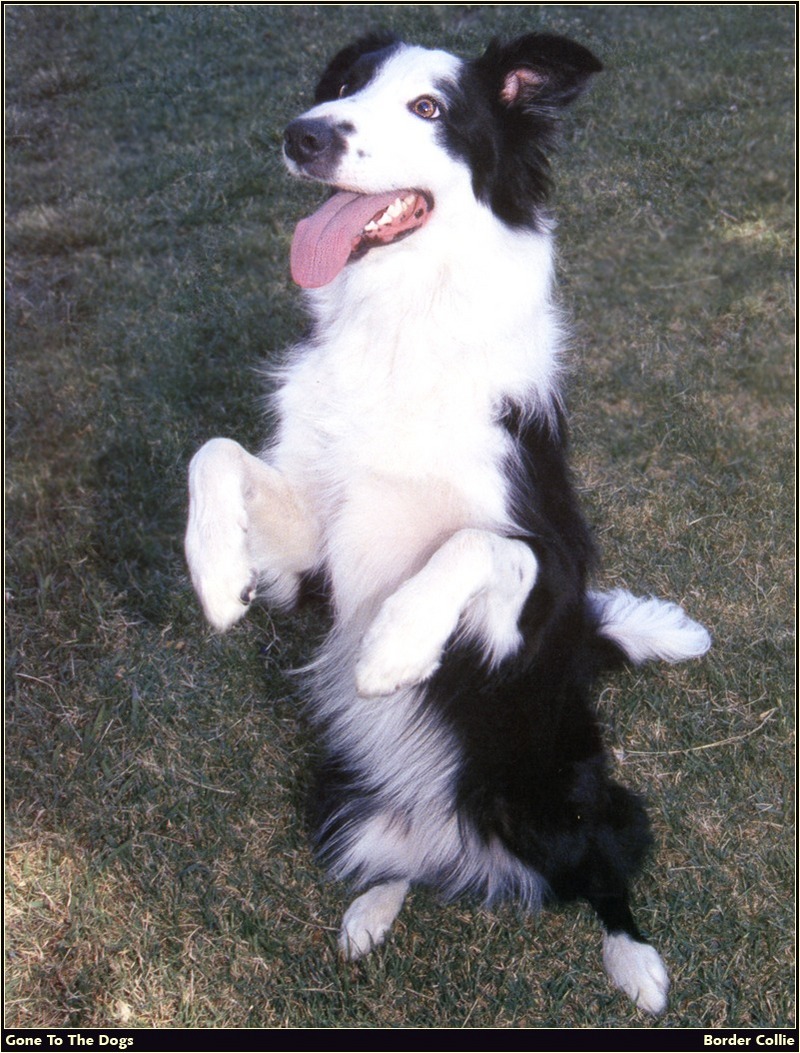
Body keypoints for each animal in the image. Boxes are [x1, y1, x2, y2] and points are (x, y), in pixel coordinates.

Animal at [184, 32, 707, 1015]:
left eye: (430, 108)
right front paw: (218, 578)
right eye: (347, 85)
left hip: (577, 799)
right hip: (334, 793)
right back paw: (371, 909)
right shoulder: (310, 565)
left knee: (601, 875)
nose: (303, 135)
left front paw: (394, 649)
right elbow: (215, 450)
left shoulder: (540, 584)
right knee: (402, 862)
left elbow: (481, 544)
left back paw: (636, 963)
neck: (401, 326)